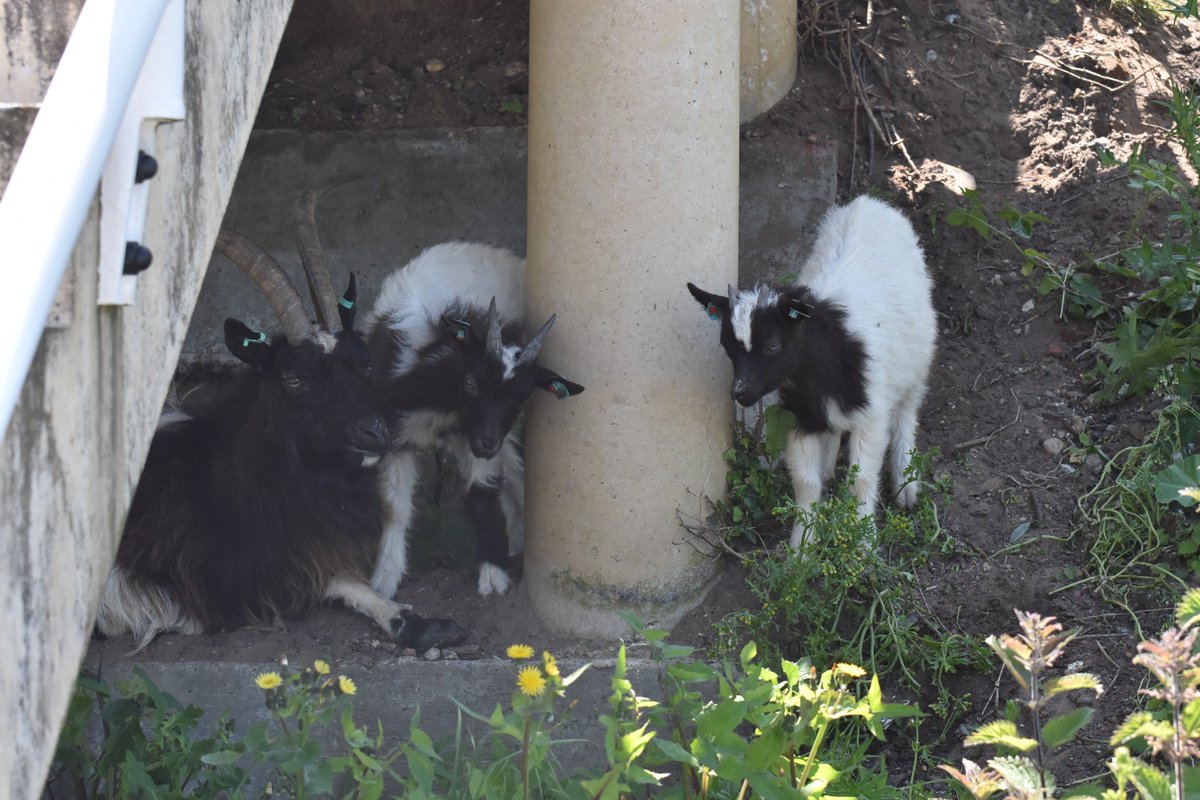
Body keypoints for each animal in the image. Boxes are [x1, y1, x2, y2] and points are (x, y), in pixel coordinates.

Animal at [365, 242, 584, 599]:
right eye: (471, 383)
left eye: (523, 398)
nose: (487, 443)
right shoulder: (396, 433)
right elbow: (394, 508)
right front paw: (384, 581)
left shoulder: (480, 436)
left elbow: (482, 493)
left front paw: (494, 573)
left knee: (512, 469)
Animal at [688, 194, 936, 547]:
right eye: (727, 346)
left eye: (773, 345)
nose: (740, 392)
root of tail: (870, 202)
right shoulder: (799, 413)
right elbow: (806, 482)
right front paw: (800, 549)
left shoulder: (871, 414)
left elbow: (861, 479)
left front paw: (864, 546)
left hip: (917, 360)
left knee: (906, 413)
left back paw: (906, 486)